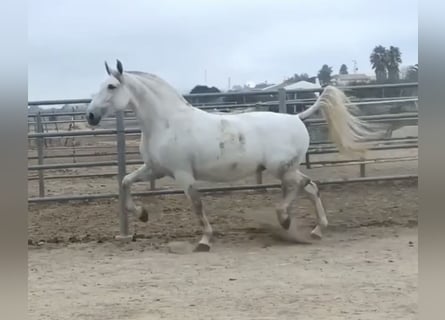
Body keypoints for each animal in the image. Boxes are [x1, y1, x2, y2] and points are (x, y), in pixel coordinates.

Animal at [86, 58, 382, 251]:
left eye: (111, 86)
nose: (90, 116)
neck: (166, 122)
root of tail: (297, 117)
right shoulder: (155, 169)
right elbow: (125, 182)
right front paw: (141, 214)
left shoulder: (183, 174)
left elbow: (197, 204)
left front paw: (205, 240)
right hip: (286, 169)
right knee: (311, 188)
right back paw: (316, 229)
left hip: (282, 168)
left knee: (303, 186)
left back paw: (285, 219)